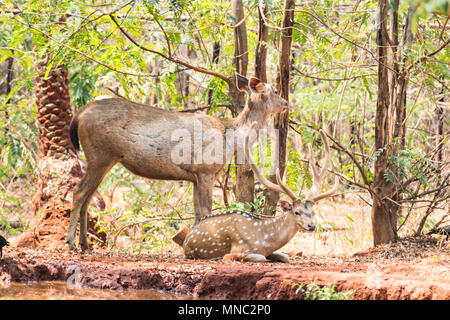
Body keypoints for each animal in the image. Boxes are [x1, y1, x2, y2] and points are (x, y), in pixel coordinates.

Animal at [66, 74, 288, 251]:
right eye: (274, 90)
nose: (286, 102)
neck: (230, 137)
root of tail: (79, 114)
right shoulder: (205, 170)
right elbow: (206, 211)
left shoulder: (195, 176)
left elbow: (198, 212)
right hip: (100, 155)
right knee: (79, 192)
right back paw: (72, 244)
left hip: (101, 159)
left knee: (88, 197)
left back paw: (85, 244)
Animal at [179, 127, 338, 262]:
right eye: (296, 212)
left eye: (313, 212)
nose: (311, 226)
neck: (264, 239)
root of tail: (188, 235)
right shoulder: (239, 248)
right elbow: (258, 257)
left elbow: (285, 256)